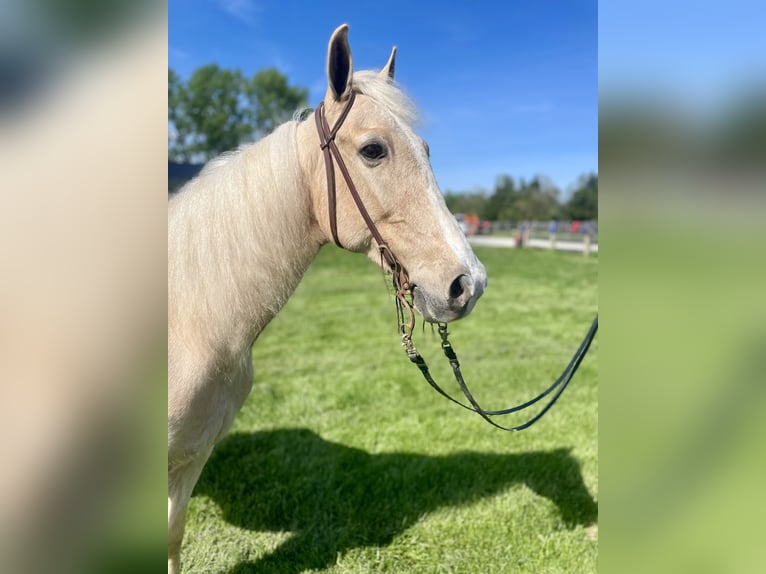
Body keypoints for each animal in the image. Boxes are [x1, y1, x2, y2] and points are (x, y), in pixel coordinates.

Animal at [167, 24, 487, 573]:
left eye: (426, 149)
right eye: (374, 150)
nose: (468, 283)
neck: (189, 321)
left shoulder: (192, 458)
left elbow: (173, 538)